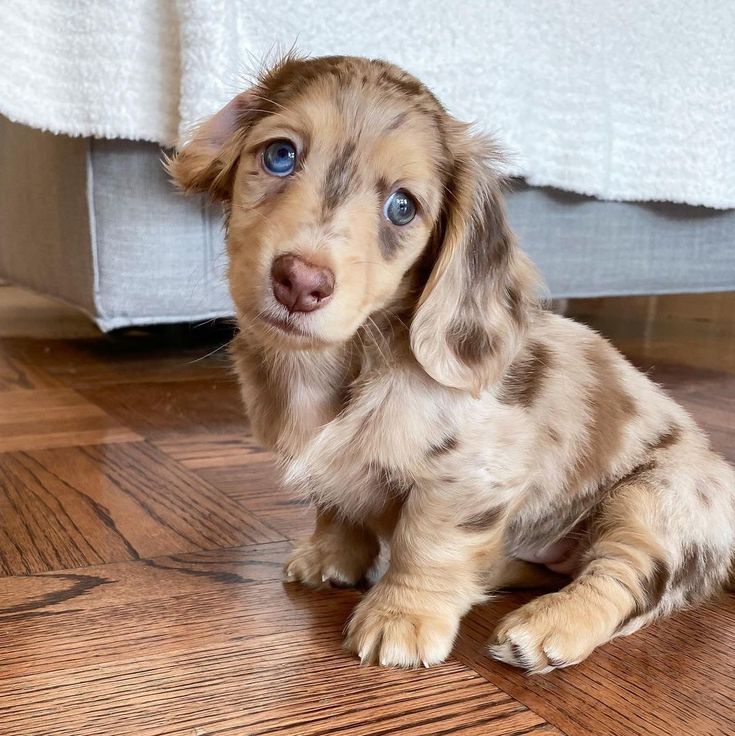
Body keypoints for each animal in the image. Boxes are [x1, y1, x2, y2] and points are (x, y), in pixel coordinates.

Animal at [168, 53, 735, 672]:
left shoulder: (468, 475)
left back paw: (549, 624)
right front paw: (330, 558)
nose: (300, 281)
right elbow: (336, 507)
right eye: (279, 155)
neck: (348, 361)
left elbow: (429, 542)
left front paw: (403, 616)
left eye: (402, 207)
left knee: (621, 578)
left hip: (657, 497)